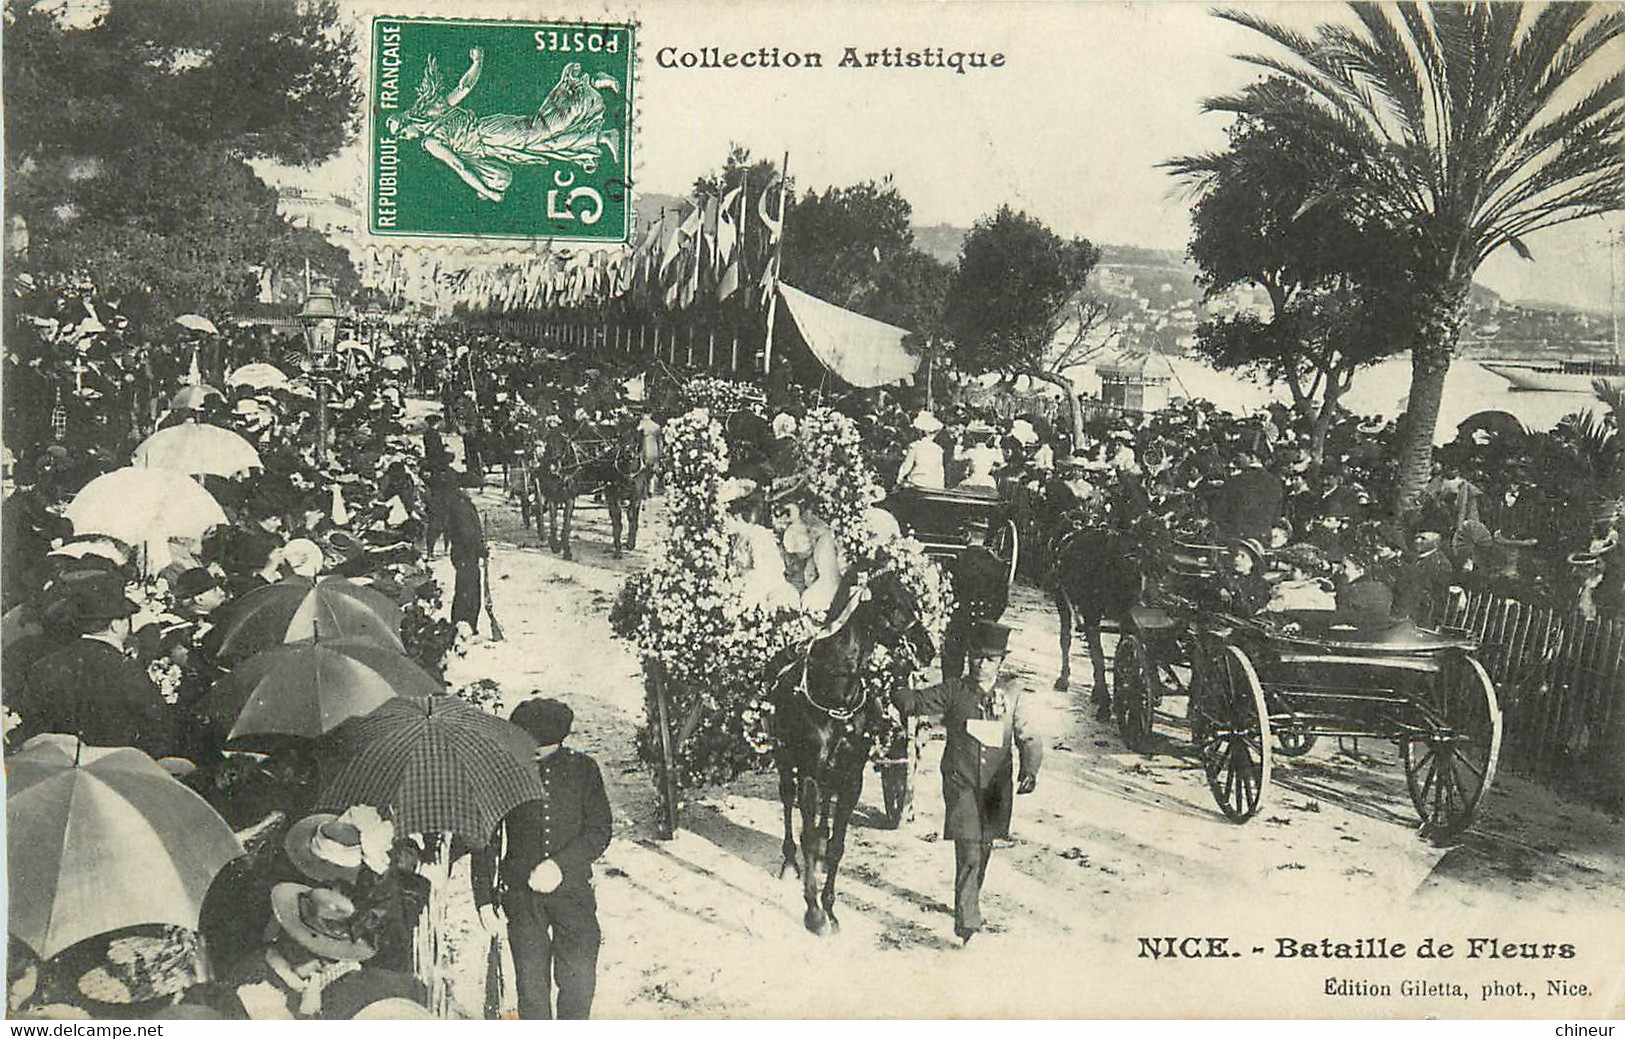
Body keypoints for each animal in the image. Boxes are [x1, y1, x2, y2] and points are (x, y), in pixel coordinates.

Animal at [526, 416, 646, 556]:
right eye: (548, 442)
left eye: (565, 442)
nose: (553, 466)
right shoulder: (552, 496)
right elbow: (554, 521)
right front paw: (556, 544)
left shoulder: (570, 497)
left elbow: (566, 523)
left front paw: (566, 549)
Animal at [767, 565, 936, 936]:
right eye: (890, 602)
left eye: (912, 599)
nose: (927, 648)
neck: (835, 694)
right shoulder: (810, 775)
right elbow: (809, 837)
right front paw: (814, 913)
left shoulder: (850, 778)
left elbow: (837, 845)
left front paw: (829, 908)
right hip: (785, 760)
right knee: (788, 803)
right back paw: (789, 862)